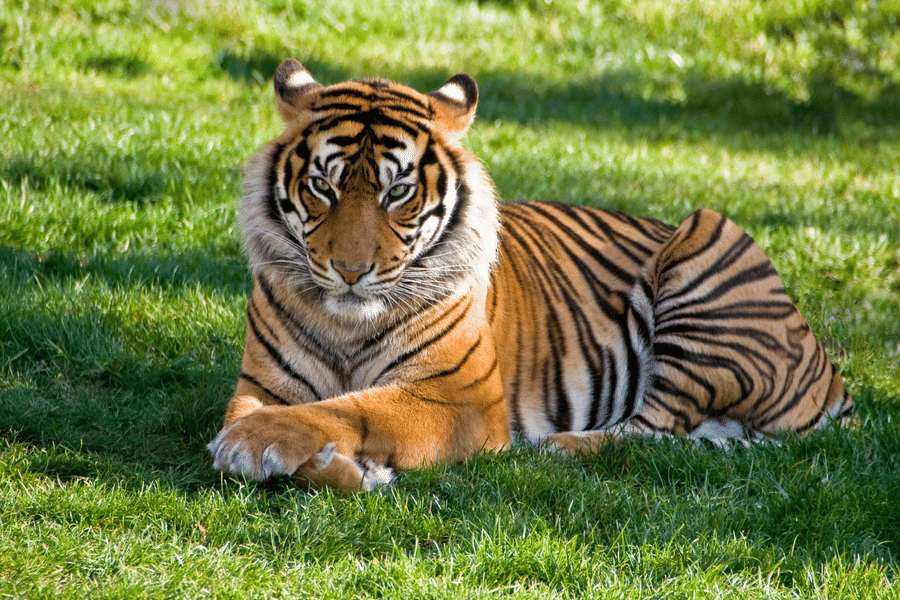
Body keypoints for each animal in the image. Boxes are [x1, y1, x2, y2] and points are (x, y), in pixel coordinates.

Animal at [208, 59, 853, 492]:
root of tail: (831, 374)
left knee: (653, 430)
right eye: (324, 186)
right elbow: (279, 413)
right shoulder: (262, 383)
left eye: (398, 192)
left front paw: (254, 445)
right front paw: (333, 465)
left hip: (708, 237)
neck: (347, 324)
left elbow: (352, 408)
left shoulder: (460, 397)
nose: (349, 271)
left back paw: (556, 447)